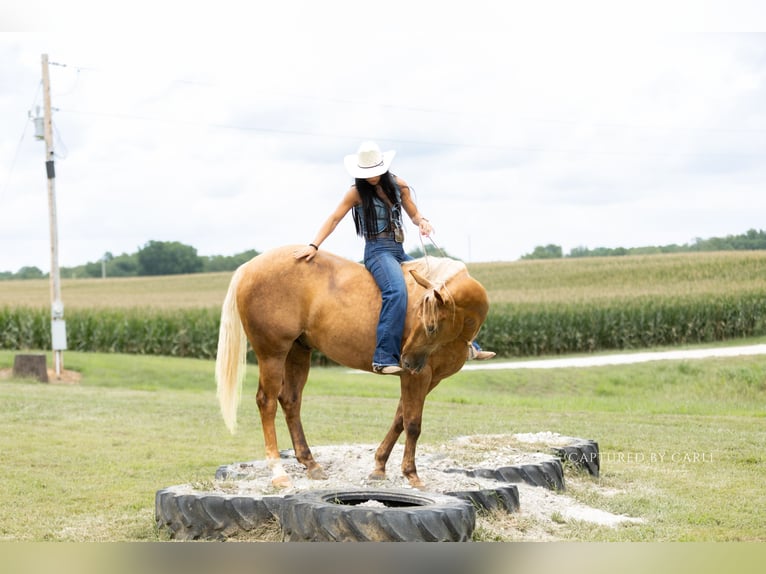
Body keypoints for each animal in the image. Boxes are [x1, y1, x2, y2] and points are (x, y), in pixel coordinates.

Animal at [215, 245, 489, 489]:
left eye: (430, 326)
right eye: (421, 321)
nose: (406, 359)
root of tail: (248, 267)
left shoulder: (430, 379)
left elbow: (399, 418)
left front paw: (379, 466)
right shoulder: (417, 376)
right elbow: (412, 423)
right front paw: (411, 474)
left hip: (298, 351)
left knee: (290, 400)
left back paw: (310, 463)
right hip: (272, 354)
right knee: (267, 402)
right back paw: (278, 473)